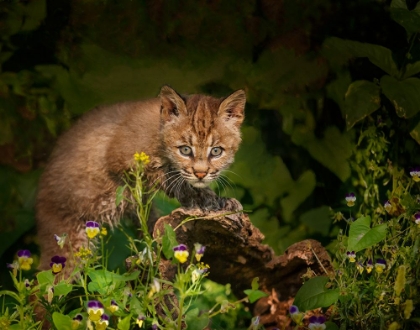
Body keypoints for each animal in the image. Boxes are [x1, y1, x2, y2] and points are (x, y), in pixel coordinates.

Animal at [37, 85, 246, 274]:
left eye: (216, 151)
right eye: (185, 150)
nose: (200, 174)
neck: (159, 136)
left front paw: (219, 200)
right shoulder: (119, 158)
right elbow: (170, 175)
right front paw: (205, 199)